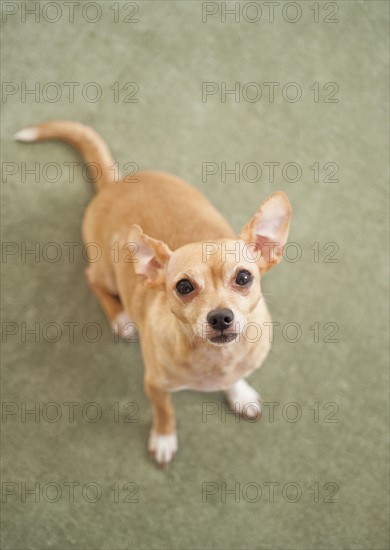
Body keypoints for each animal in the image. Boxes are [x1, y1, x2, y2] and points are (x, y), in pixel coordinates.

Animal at [16, 121, 290, 466]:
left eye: (243, 277)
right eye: (184, 287)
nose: (220, 318)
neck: (215, 359)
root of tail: (115, 184)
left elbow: (234, 379)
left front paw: (239, 393)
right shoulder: (154, 387)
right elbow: (165, 412)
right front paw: (163, 438)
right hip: (106, 273)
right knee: (92, 279)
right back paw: (121, 319)